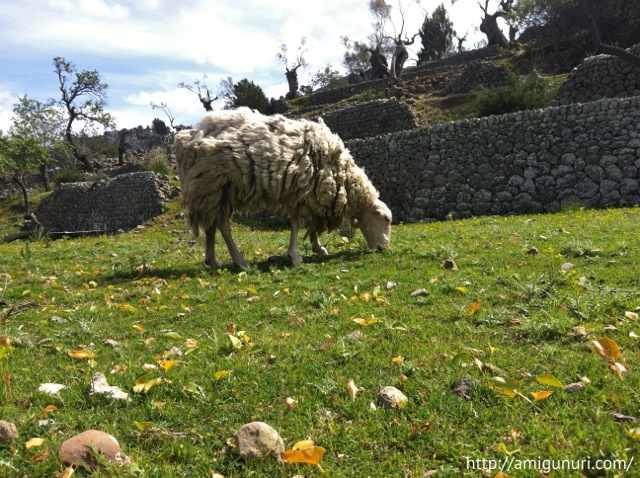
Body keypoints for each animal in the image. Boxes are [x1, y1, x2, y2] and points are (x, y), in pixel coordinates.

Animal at [175, 107, 390, 268]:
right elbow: (296, 225)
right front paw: (295, 256)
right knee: (222, 226)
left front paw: (318, 248)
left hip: (215, 191)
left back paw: (212, 261)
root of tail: (191, 135)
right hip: (214, 184)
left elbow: (313, 225)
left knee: (213, 224)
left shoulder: (310, 196)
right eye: (386, 219)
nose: (384, 249)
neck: (342, 174)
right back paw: (239, 261)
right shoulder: (303, 192)